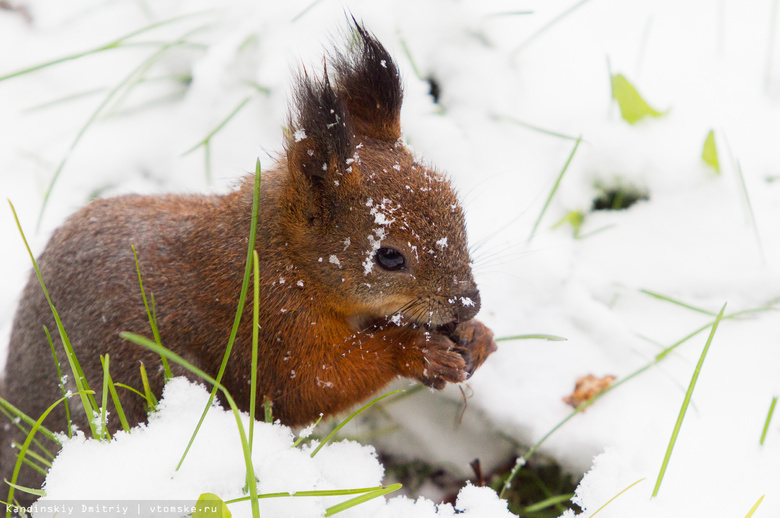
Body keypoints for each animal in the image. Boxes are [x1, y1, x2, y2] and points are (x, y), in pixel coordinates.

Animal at [1, 23, 494, 500]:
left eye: (456, 210)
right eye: (389, 256)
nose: (469, 302)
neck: (288, 259)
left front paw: (477, 338)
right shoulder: (268, 323)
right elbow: (310, 385)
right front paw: (415, 351)